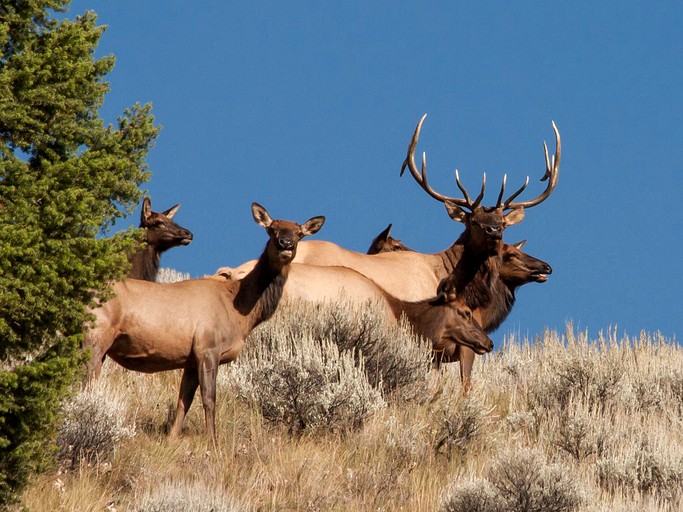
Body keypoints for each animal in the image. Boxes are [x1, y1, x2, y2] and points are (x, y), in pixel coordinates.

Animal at [83, 204, 326, 440]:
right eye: (271, 229)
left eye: (299, 233)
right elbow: (209, 398)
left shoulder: (190, 358)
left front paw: (173, 439)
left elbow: (184, 400)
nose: (285, 244)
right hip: (96, 336)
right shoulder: (208, 347)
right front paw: (213, 441)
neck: (240, 312)